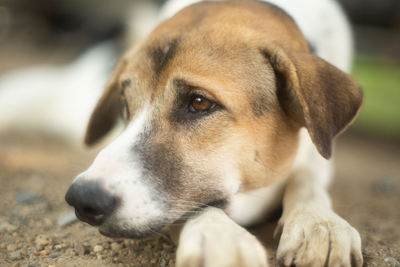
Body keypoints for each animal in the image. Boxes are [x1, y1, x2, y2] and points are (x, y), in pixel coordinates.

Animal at [64, 1, 364, 266]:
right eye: (125, 104)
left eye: (200, 103)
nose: (82, 199)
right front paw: (221, 238)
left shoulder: (318, 155)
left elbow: (307, 178)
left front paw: (319, 222)